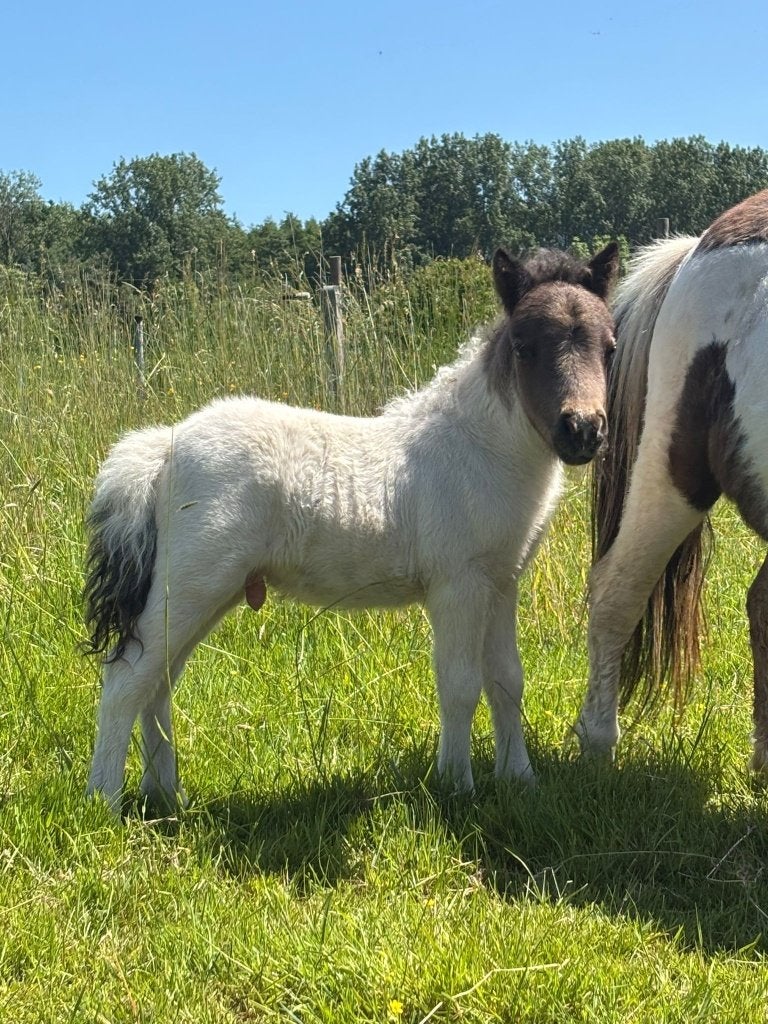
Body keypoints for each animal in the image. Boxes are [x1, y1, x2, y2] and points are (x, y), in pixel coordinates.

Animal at [84, 242, 619, 812]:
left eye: (609, 347)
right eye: (523, 347)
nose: (583, 431)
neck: (481, 448)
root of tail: (164, 447)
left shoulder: (501, 582)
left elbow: (506, 680)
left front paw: (519, 779)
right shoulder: (458, 585)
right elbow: (459, 684)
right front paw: (456, 784)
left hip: (206, 592)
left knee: (158, 683)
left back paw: (166, 795)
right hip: (191, 585)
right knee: (127, 677)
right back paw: (103, 801)